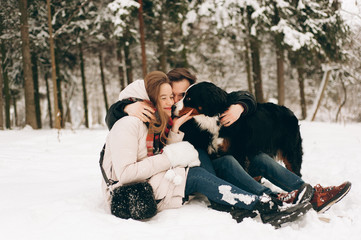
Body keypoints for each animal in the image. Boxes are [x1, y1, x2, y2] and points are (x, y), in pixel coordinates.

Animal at [173, 82, 302, 176]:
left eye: (189, 98)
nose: (173, 107)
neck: (216, 117)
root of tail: (291, 113)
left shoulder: (238, 153)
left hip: (291, 153)